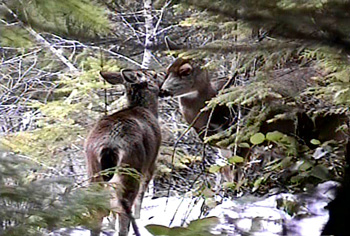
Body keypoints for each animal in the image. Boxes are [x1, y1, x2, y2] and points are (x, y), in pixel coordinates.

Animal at [85, 68, 162, 236]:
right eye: (153, 74)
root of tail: (109, 145)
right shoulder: (151, 164)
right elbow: (141, 196)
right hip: (131, 166)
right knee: (124, 208)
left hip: (93, 171)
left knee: (97, 211)